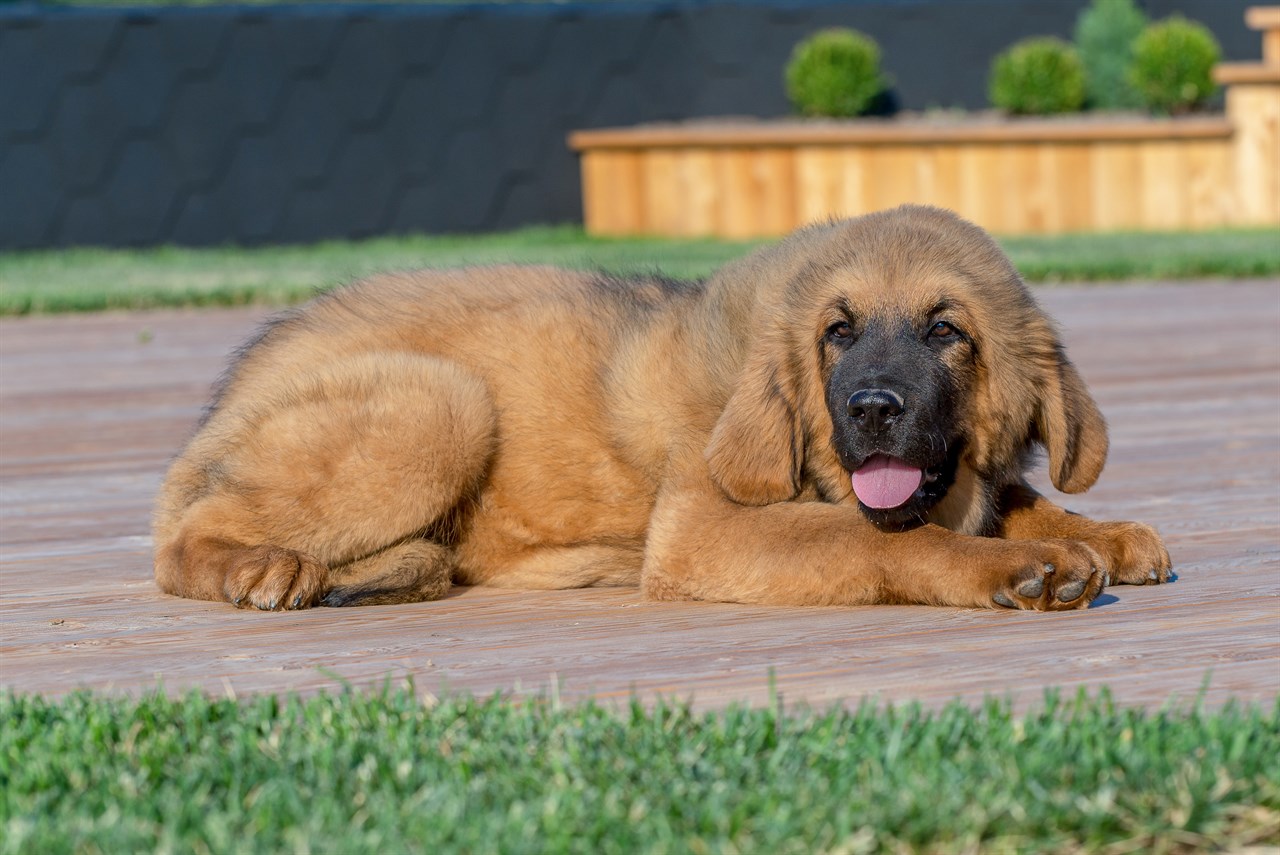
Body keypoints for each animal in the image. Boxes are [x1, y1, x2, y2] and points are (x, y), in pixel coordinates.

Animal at [152, 203, 1172, 611]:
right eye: (837, 332)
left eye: (948, 330)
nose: (873, 409)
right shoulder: (701, 527)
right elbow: (884, 537)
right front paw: (1025, 564)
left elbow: (1014, 497)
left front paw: (1100, 529)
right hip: (438, 402)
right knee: (185, 535)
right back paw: (261, 568)